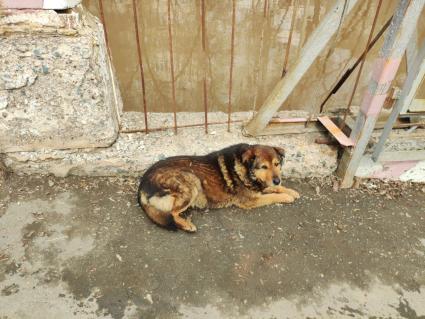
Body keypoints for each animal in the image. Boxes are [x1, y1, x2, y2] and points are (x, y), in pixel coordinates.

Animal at [137, 144, 300, 232]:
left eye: (276, 164)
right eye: (264, 167)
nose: (277, 180)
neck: (245, 167)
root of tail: (142, 184)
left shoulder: (259, 187)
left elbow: (276, 189)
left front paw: (291, 191)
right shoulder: (250, 200)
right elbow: (272, 196)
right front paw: (287, 196)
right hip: (192, 182)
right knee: (172, 213)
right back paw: (186, 225)